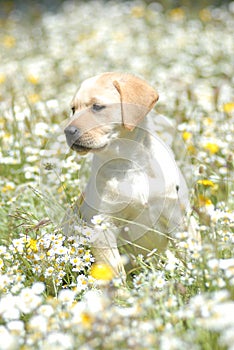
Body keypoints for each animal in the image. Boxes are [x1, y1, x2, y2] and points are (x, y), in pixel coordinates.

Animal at [63, 72, 194, 280]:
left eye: (97, 106)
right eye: (73, 109)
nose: (67, 132)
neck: (132, 164)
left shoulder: (179, 219)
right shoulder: (102, 227)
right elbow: (114, 271)